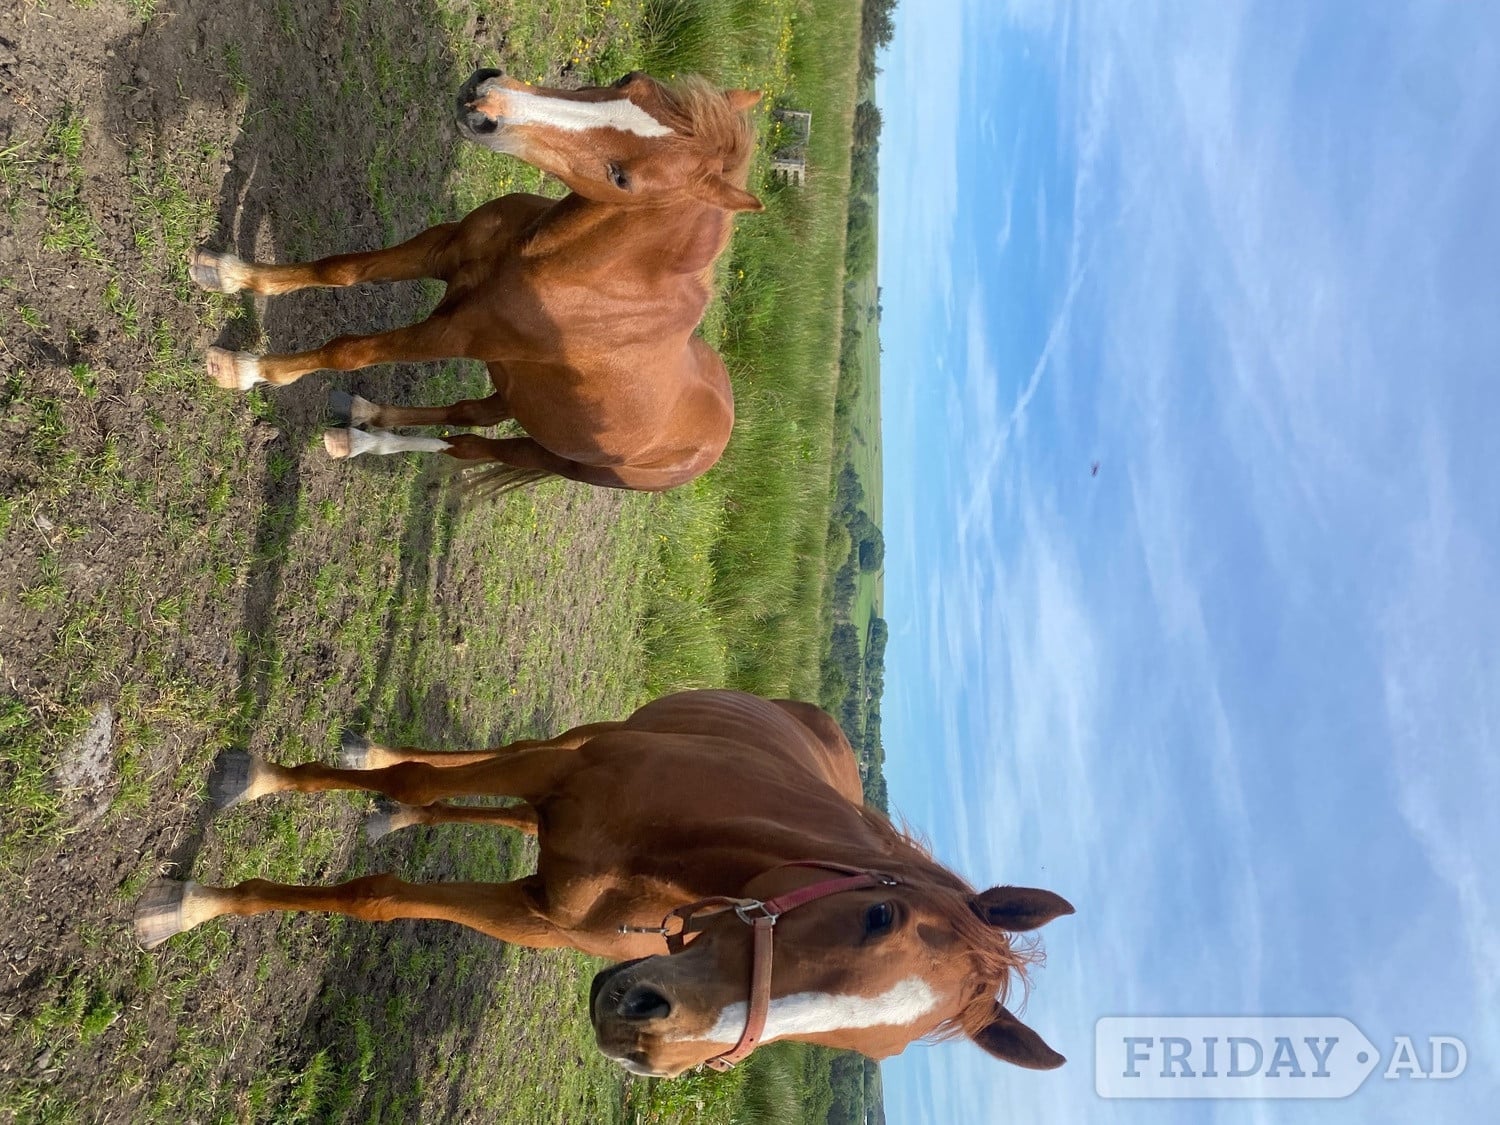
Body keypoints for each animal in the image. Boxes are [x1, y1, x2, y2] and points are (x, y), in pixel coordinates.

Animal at [134, 690, 1073, 1076]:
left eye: (865, 1052)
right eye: (879, 913)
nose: (647, 1034)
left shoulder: (536, 914)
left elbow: (385, 893)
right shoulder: (560, 773)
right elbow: (411, 795)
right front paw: (194, 893)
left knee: (503, 818)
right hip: (580, 740)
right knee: (471, 767)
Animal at [190, 70, 765, 493]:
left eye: (622, 177)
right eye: (629, 78)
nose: (483, 98)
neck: (558, 264)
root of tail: (714, 438)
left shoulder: (455, 334)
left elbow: (347, 350)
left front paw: (245, 368)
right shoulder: (442, 250)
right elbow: (340, 268)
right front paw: (224, 270)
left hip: (549, 454)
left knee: (468, 443)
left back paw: (361, 441)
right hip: (518, 395)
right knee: (468, 413)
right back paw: (363, 418)